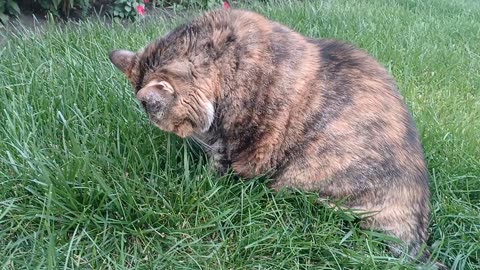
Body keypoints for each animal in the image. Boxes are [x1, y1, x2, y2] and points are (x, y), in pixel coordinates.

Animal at [108, 8, 446, 268]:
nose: (193, 137)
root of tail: (415, 234)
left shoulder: (239, 143)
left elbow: (221, 165)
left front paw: (203, 179)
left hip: (302, 186)